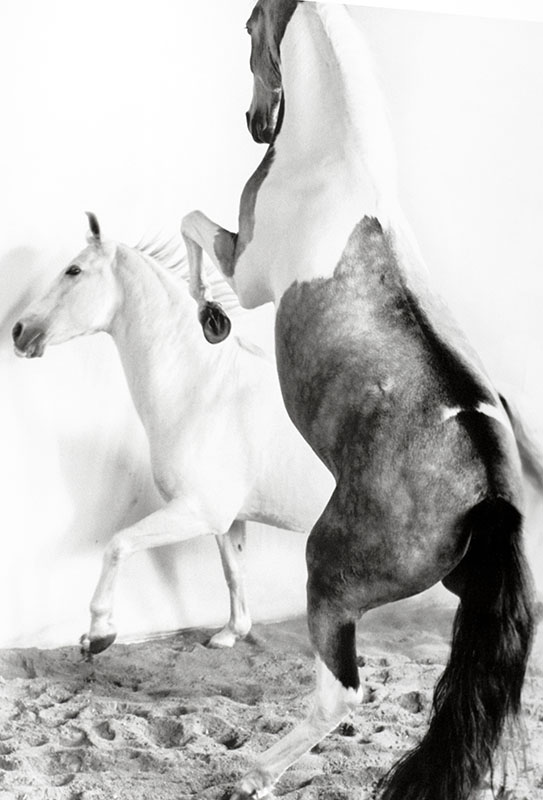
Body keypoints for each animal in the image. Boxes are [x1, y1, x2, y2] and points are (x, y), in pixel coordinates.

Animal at [11, 212, 335, 655]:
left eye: (73, 270)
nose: (18, 330)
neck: (205, 391)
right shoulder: (225, 521)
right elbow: (233, 571)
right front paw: (231, 634)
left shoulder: (196, 511)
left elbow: (118, 544)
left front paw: (99, 633)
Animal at [180, 2, 535, 799]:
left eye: (247, 25)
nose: (255, 123)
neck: (338, 170)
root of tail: (490, 494)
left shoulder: (247, 271)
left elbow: (189, 223)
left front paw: (210, 318)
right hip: (464, 589)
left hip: (330, 576)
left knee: (341, 695)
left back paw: (254, 771)